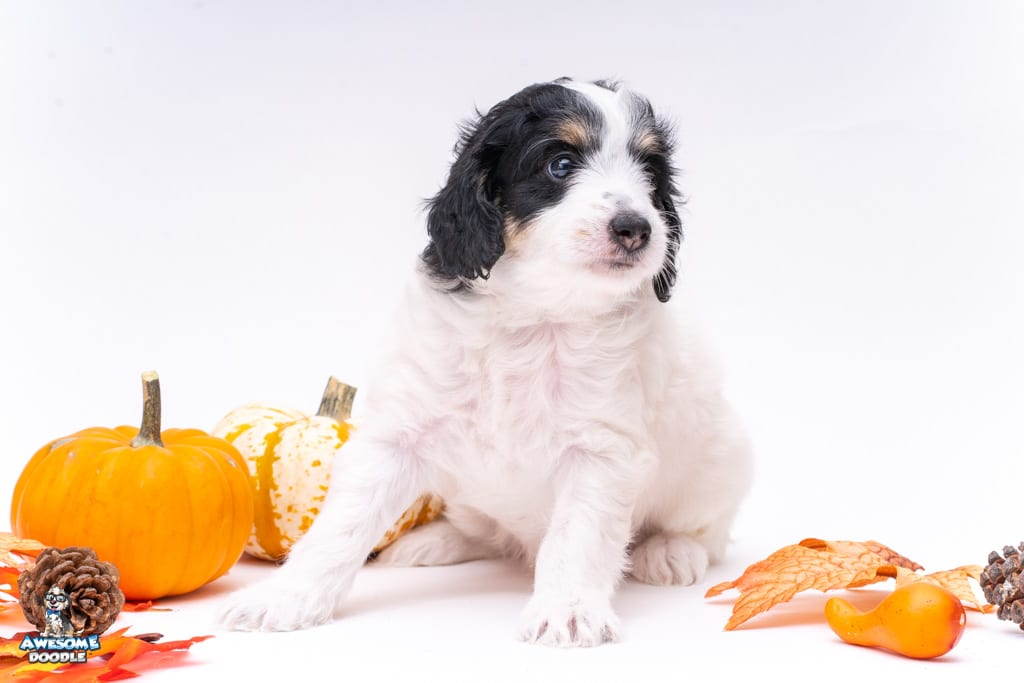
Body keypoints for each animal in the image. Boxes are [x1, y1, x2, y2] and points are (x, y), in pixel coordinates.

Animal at [222, 78, 753, 647]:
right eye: (560, 165)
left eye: (650, 175)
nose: (636, 228)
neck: (535, 313)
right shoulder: (397, 433)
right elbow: (343, 523)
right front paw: (285, 596)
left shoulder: (602, 451)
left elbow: (577, 535)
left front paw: (566, 609)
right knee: (488, 533)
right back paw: (436, 540)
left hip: (722, 461)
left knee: (705, 531)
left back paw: (670, 550)